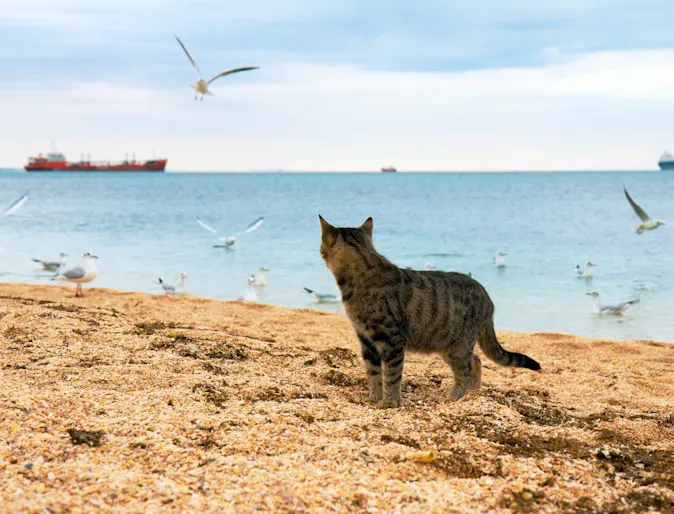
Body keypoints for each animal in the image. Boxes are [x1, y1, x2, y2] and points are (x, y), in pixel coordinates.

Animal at [318, 215, 540, 408]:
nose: (319, 251)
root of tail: (487, 296)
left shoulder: (392, 340)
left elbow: (391, 375)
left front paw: (390, 403)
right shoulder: (366, 341)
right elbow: (373, 374)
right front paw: (374, 399)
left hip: (457, 346)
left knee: (466, 370)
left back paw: (455, 397)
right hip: (449, 345)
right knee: (476, 361)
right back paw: (473, 395)